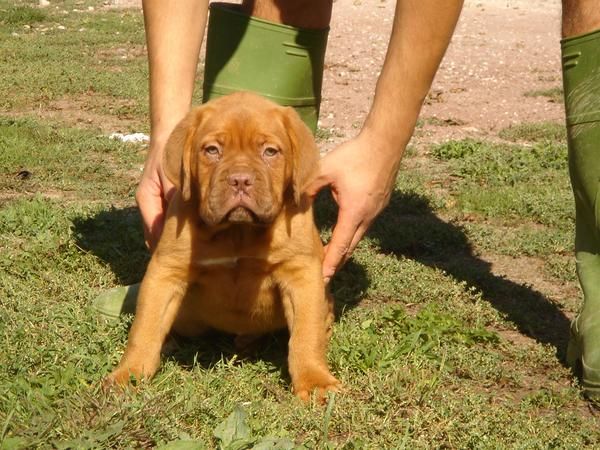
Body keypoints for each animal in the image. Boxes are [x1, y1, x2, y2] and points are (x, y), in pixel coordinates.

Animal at [107, 91, 340, 400]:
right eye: (212, 150)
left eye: (270, 152)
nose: (240, 180)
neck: (238, 232)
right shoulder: (165, 272)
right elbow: (145, 327)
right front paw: (129, 373)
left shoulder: (302, 275)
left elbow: (306, 335)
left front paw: (315, 382)